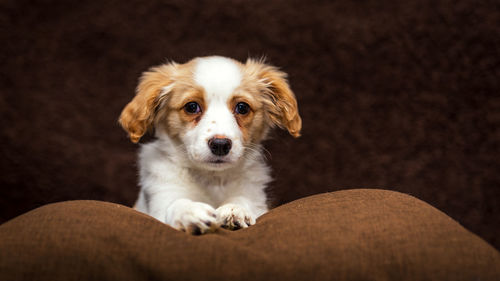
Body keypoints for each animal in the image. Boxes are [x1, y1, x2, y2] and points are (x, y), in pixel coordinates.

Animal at [119, 55, 300, 233]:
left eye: (242, 108)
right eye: (191, 107)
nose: (220, 144)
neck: (213, 179)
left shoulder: (257, 199)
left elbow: (243, 200)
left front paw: (235, 209)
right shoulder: (160, 201)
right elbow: (175, 204)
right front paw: (189, 212)